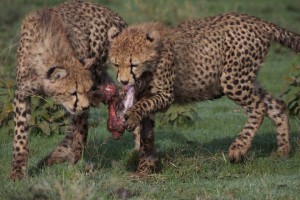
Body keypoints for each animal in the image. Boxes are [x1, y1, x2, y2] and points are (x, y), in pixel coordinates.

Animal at [9, 1, 126, 180]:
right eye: (73, 92)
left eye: (86, 90)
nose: (85, 105)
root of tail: (111, 12)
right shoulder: (22, 93)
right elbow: (20, 133)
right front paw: (17, 170)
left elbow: (80, 127)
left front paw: (76, 152)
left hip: (97, 68)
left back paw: (61, 154)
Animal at [108, 12, 300, 175]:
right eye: (116, 64)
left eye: (134, 64)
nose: (123, 82)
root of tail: (258, 21)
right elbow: (146, 134)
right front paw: (146, 166)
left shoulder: (166, 95)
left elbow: (144, 106)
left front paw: (132, 118)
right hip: (247, 80)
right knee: (276, 105)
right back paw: (283, 151)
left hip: (232, 80)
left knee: (259, 107)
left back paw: (238, 148)